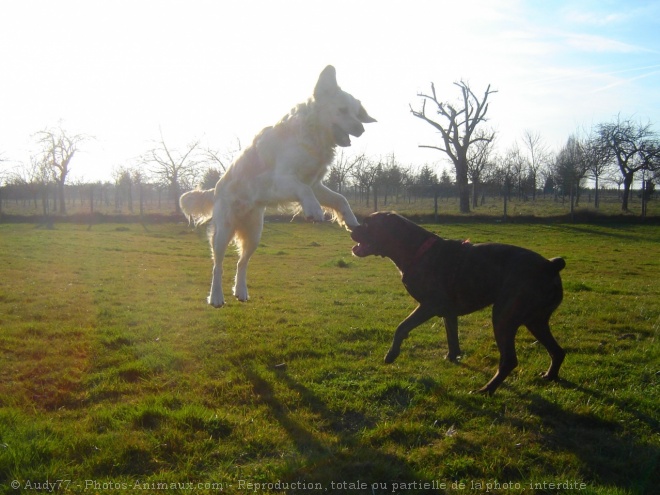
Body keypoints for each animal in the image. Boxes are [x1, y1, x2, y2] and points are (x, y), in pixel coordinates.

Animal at [180, 65, 374, 306]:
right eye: (342, 110)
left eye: (356, 113)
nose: (361, 129)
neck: (311, 135)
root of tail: (215, 189)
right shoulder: (281, 179)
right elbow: (304, 190)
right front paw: (314, 210)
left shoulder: (316, 184)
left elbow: (340, 198)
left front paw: (351, 221)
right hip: (223, 231)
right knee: (218, 265)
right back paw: (216, 297)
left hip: (255, 234)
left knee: (241, 263)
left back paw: (241, 291)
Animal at [350, 213, 568, 396]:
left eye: (368, 224)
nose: (352, 229)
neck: (417, 251)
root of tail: (549, 265)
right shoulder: (448, 313)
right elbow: (452, 337)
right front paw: (452, 357)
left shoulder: (430, 305)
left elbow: (402, 327)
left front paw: (391, 355)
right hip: (535, 321)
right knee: (557, 351)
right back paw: (550, 376)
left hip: (503, 319)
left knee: (509, 360)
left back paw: (486, 390)